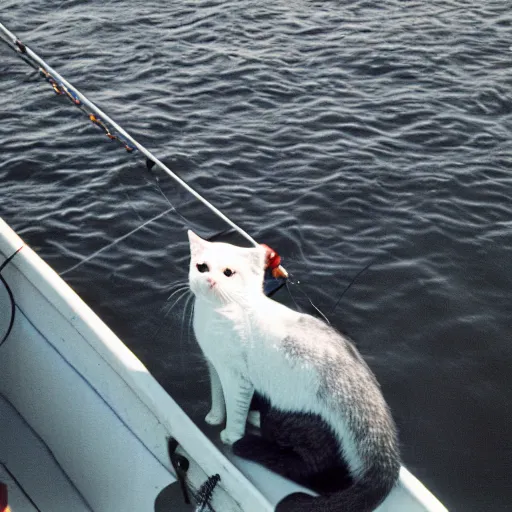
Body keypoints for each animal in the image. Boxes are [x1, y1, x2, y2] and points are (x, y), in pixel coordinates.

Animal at [187, 232, 400, 512]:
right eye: (201, 267)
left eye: (229, 272)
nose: (210, 280)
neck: (217, 313)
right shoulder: (213, 363)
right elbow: (217, 395)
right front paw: (213, 417)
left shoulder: (237, 377)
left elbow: (233, 408)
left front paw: (230, 435)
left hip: (288, 417)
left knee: (314, 468)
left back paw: (252, 446)